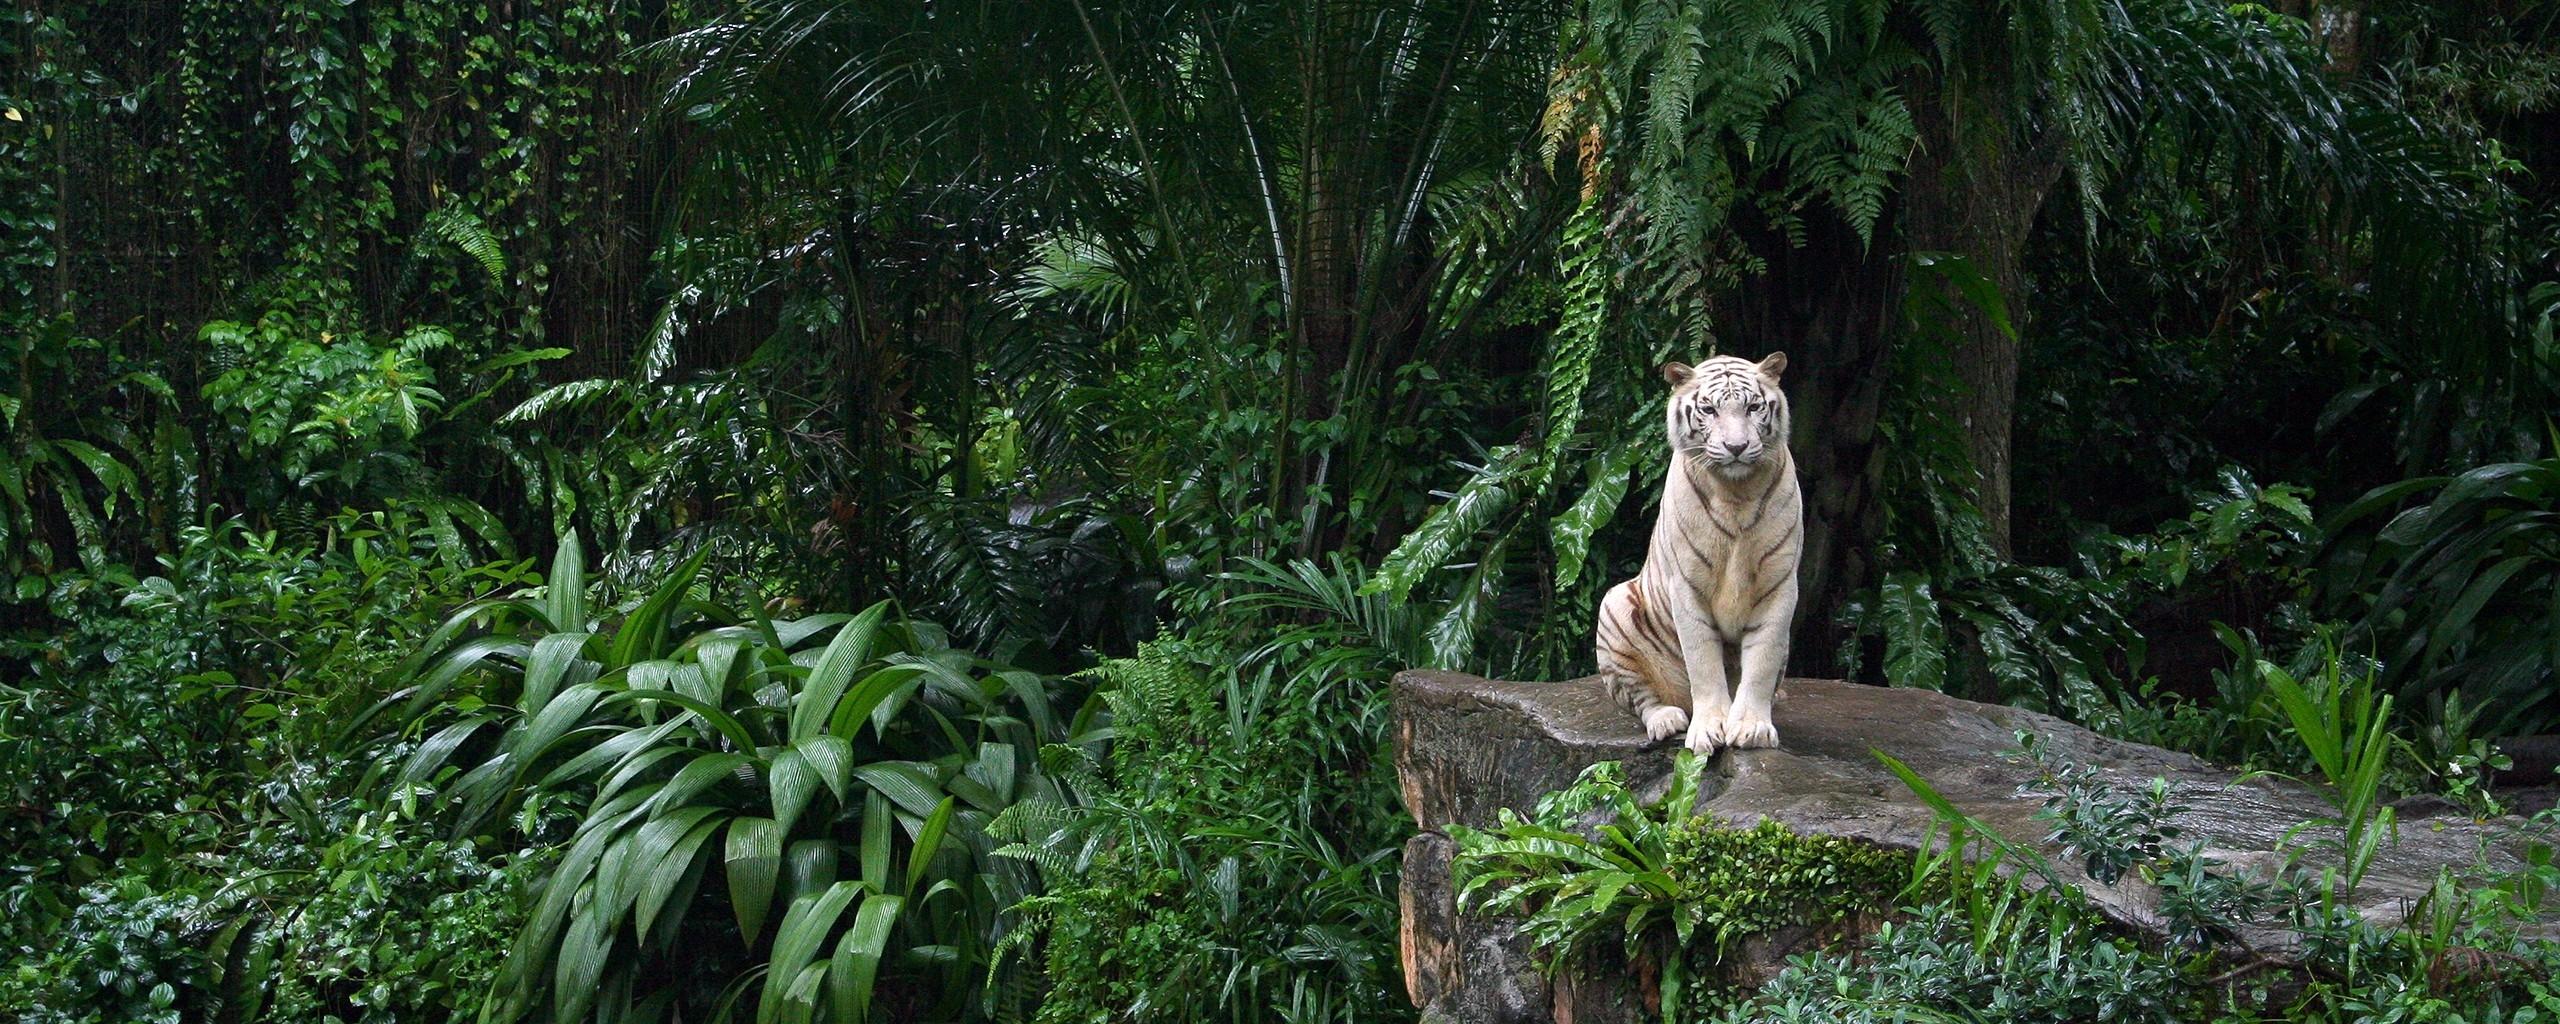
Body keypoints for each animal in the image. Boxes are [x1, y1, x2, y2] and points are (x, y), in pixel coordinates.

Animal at [1594, 352, 1802, 754]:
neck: (1737, 493)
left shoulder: (1779, 585)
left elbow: (1762, 660)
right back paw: (1666, 719)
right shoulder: (1686, 586)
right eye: (1709, 409)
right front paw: (1709, 729)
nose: (1736, 447)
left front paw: (1752, 728)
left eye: (1753, 407)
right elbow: (1703, 663)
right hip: (1614, 607)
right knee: (1642, 698)